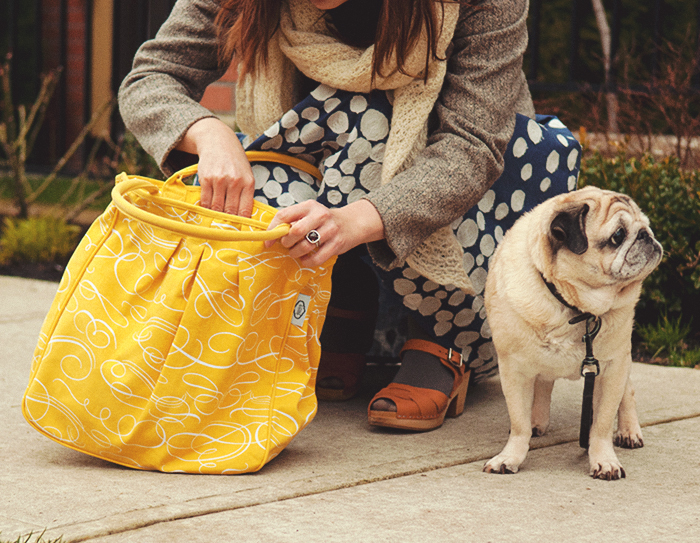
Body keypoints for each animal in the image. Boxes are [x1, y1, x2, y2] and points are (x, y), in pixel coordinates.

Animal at [484, 187, 660, 480]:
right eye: (618, 235)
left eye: (645, 225)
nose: (647, 235)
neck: (574, 306)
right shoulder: (513, 370)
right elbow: (519, 423)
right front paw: (511, 456)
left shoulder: (612, 368)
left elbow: (601, 424)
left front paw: (604, 460)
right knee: (542, 385)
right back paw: (537, 421)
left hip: (623, 358)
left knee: (628, 392)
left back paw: (628, 430)